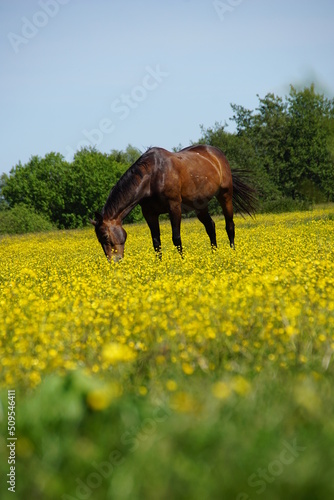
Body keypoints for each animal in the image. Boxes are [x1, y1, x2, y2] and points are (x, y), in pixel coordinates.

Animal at [90, 145, 258, 262]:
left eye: (105, 236)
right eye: (98, 239)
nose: (114, 261)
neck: (153, 175)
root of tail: (217, 154)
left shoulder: (174, 207)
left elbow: (176, 238)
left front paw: (182, 261)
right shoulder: (149, 213)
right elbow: (156, 242)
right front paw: (159, 265)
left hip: (225, 196)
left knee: (229, 226)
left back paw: (232, 252)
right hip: (200, 206)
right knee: (211, 227)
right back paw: (214, 254)